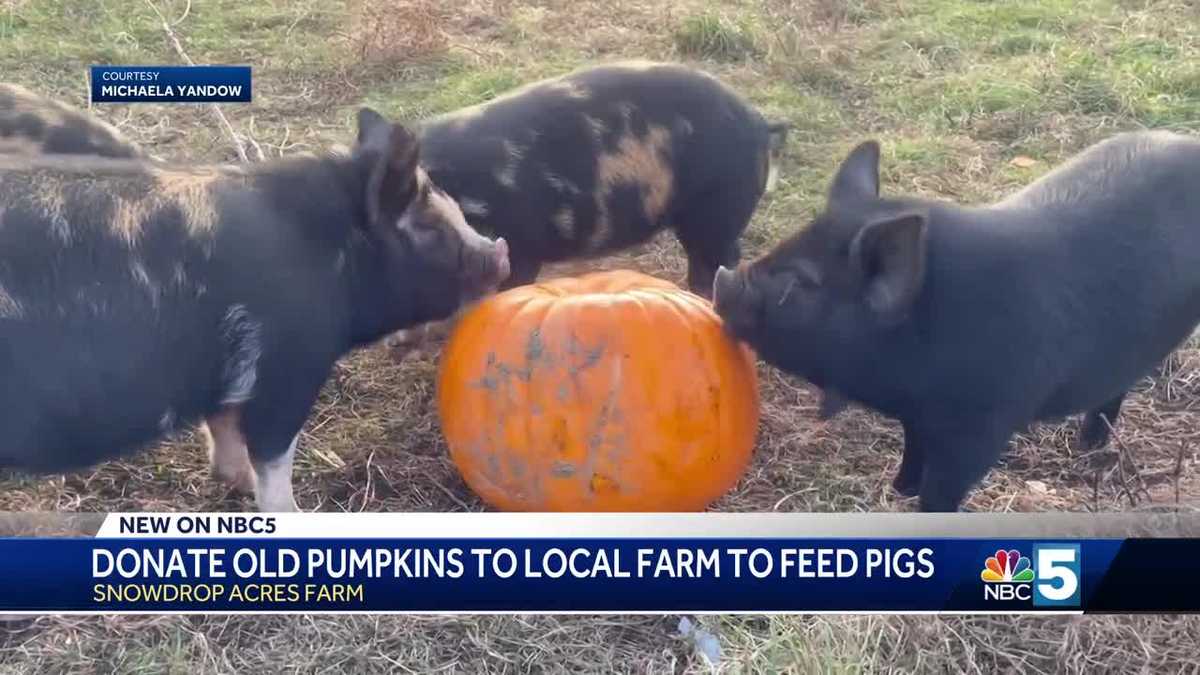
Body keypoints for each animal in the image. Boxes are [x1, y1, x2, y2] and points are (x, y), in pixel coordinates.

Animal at [0, 105, 508, 506]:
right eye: (429, 226)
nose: (500, 252)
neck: (329, 253)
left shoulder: (228, 377)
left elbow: (225, 431)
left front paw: (236, 483)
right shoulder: (288, 370)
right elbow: (272, 457)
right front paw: (294, 513)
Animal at [710, 131, 1200, 509]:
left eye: (800, 281)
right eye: (787, 243)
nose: (722, 278)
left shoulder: (981, 430)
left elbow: (943, 488)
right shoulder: (917, 417)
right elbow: (912, 449)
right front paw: (899, 487)